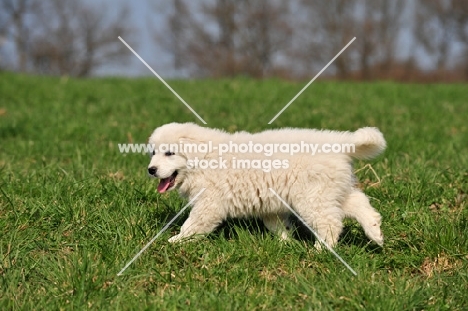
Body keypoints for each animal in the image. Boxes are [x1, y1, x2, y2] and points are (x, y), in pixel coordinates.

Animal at [148, 123, 386, 250]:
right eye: (153, 152)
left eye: (169, 153)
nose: (151, 169)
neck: (203, 158)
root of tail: (341, 145)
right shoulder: (269, 203)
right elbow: (276, 225)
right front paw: (285, 242)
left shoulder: (209, 203)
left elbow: (193, 224)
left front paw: (175, 241)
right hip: (333, 190)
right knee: (359, 202)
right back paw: (375, 232)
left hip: (312, 196)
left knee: (330, 222)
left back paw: (321, 249)